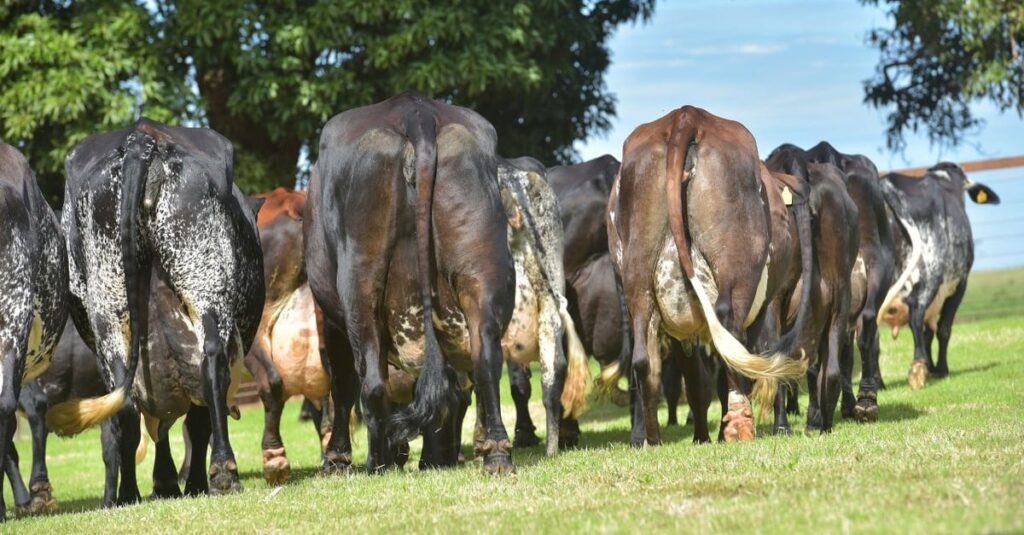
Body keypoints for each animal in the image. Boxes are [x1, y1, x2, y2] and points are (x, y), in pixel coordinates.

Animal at [301, 90, 512, 471]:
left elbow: (342, 385)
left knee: (371, 382)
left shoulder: (329, 318)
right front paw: (433, 457)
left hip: (360, 284)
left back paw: (377, 464)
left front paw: (337, 459)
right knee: (484, 357)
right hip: (480, 269)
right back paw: (496, 454)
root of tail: (415, 111)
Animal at [872, 160, 999, 387]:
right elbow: (943, 328)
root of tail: (886, 184)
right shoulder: (959, 284)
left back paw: (878, 382)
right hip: (931, 273)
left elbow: (928, 332)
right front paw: (940, 369)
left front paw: (932, 367)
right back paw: (918, 368)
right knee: (916, 312)